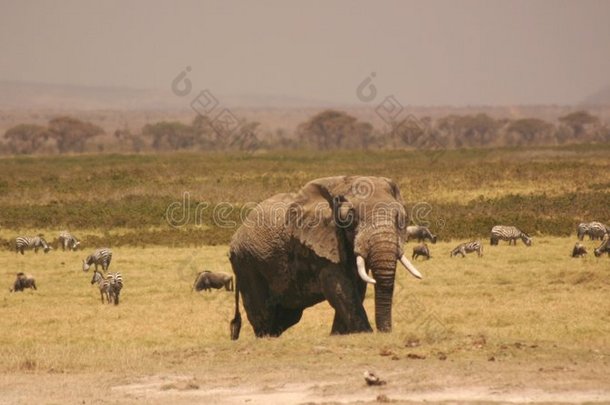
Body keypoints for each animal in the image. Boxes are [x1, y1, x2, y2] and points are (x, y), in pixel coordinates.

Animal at [226, 175, 420, 340]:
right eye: (351, 218)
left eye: (400, 218)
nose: (385, 332)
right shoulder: (319, 244)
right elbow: (338, 286)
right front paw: (364, 333)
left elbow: (357, 285)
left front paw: (338, 335)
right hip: (247, 263)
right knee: (263, 312)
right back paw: (266, 337)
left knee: (286, 316)